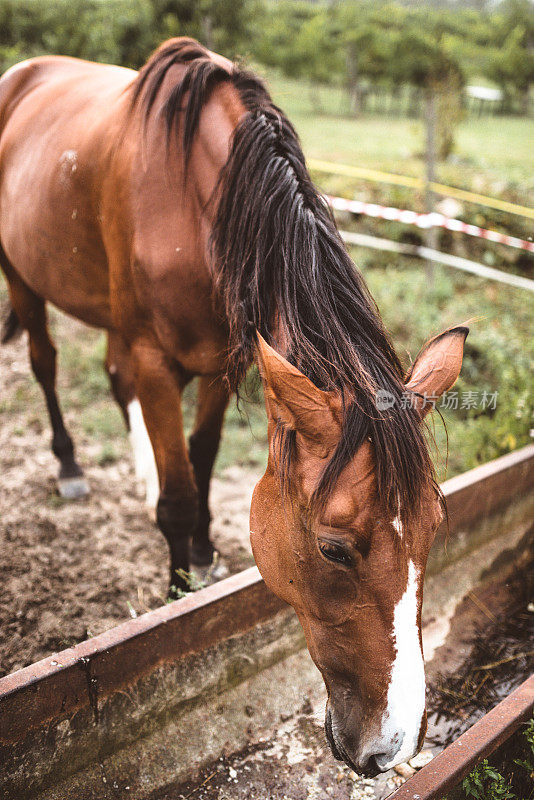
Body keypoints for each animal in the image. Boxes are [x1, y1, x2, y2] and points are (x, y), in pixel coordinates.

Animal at [0, 40, 468, 772]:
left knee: (111, 378)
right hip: (23, 277)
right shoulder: (157, 362)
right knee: (47, 365)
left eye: (434, 528)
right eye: (334, 549)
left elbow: (200, 455)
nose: (390, 747)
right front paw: (175, 590)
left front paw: (199, 550)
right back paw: (72, 467)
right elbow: (179, 495)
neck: (200, 199)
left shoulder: (229, 355)